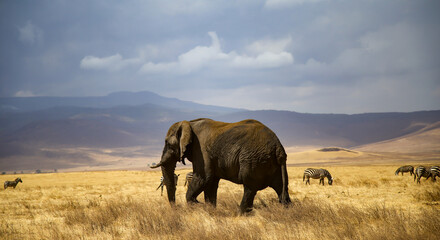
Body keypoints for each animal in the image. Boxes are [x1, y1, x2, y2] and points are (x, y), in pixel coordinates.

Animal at [151, 118, 292, 214]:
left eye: (168, 143)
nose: (176, 208)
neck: (189, 123)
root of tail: (278, 147)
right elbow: (211, 183)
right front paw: (209, 209)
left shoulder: (201, 151)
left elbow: (204, 178)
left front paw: (200, 206)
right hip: (271, 163)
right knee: (281, 188)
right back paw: (288, 210)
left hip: (253, 159)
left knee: (249, 187)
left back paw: (240, 214)